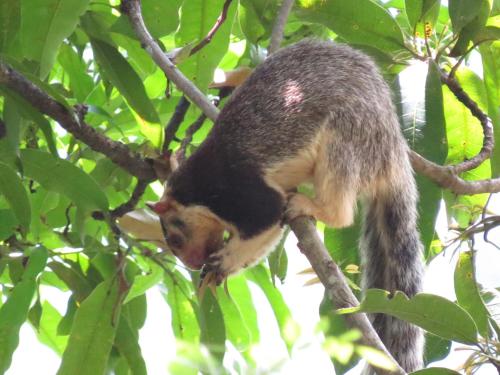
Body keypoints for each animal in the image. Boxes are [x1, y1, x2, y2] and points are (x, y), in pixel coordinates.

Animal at [150, 39, 424, 372]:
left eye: (175, 239)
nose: (191, 263)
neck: (193, 192)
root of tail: (394, 156)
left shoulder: (236, 192)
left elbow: (266, 218)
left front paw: (223, 262)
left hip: (349, 136)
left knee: (341, 209)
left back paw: (312, 206)